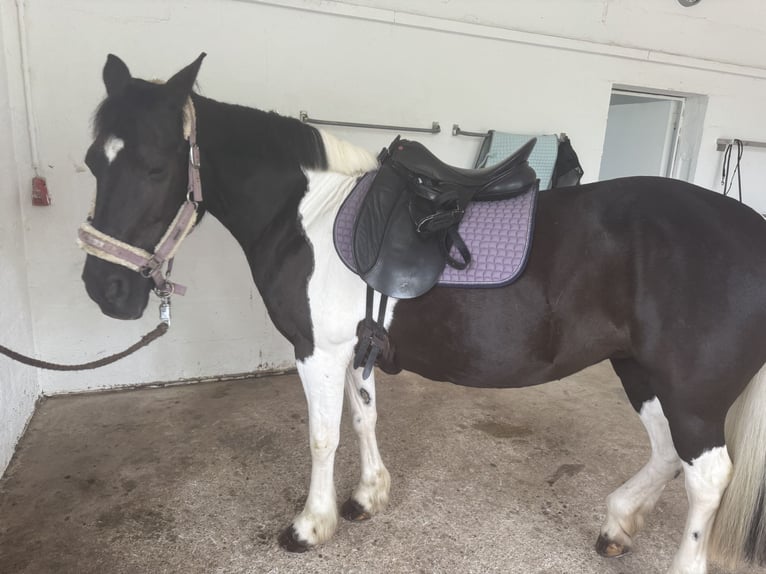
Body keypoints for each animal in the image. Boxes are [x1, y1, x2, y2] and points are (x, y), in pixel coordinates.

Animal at [79, 54, 766, 574]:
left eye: (155, 166)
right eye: (92, 163)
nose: (104, 289)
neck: (308, 215)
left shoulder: (317, 350)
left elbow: (322, 436)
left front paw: (311, 526)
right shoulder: (356, 349)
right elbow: (363, 419)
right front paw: (366, 498)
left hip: (691, 392)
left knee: (707, 475)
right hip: (640, 371)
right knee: (667, 453)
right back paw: (618, 522)